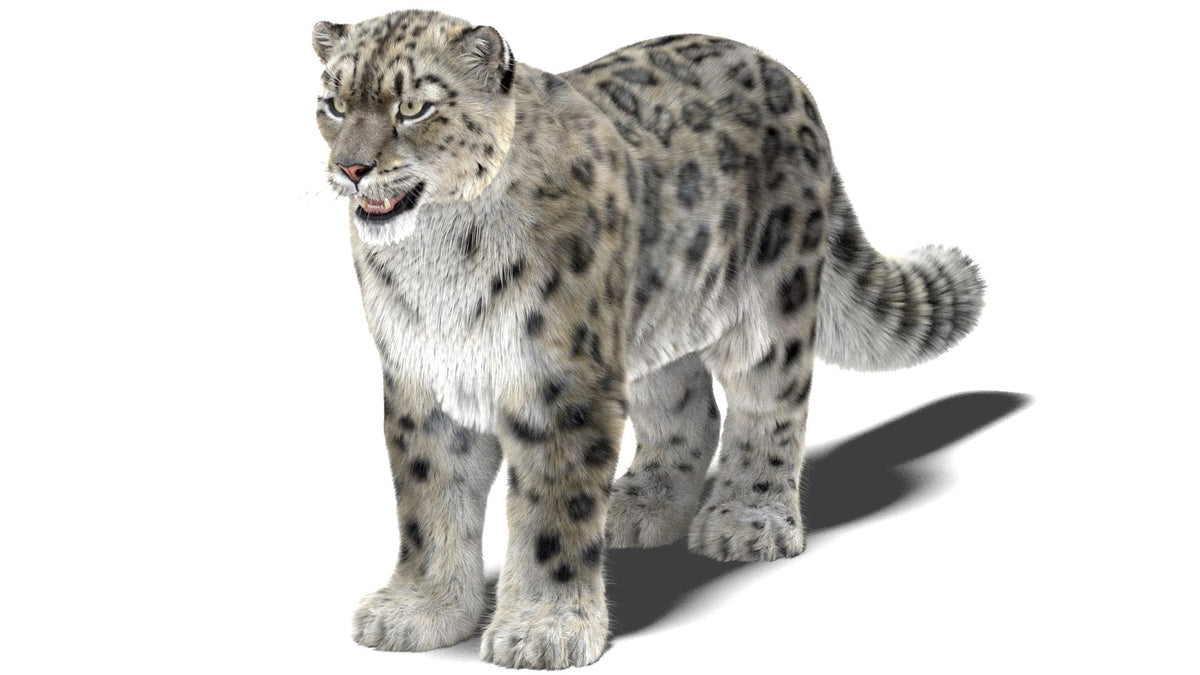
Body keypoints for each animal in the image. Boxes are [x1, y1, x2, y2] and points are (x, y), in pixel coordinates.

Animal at [311, 9, 984, 669]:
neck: (437, 259)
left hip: (771, 308)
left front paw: (543, 631)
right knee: (690, 409)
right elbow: (429, 499)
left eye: (413, 107)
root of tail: (782, 74)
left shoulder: (559, 384)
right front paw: (420, 611)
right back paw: (641, 506)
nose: (352, 168)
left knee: (770, 407)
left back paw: (748, 519)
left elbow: (553, 509)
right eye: (335, 104)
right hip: (654, 323)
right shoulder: (424, 381)